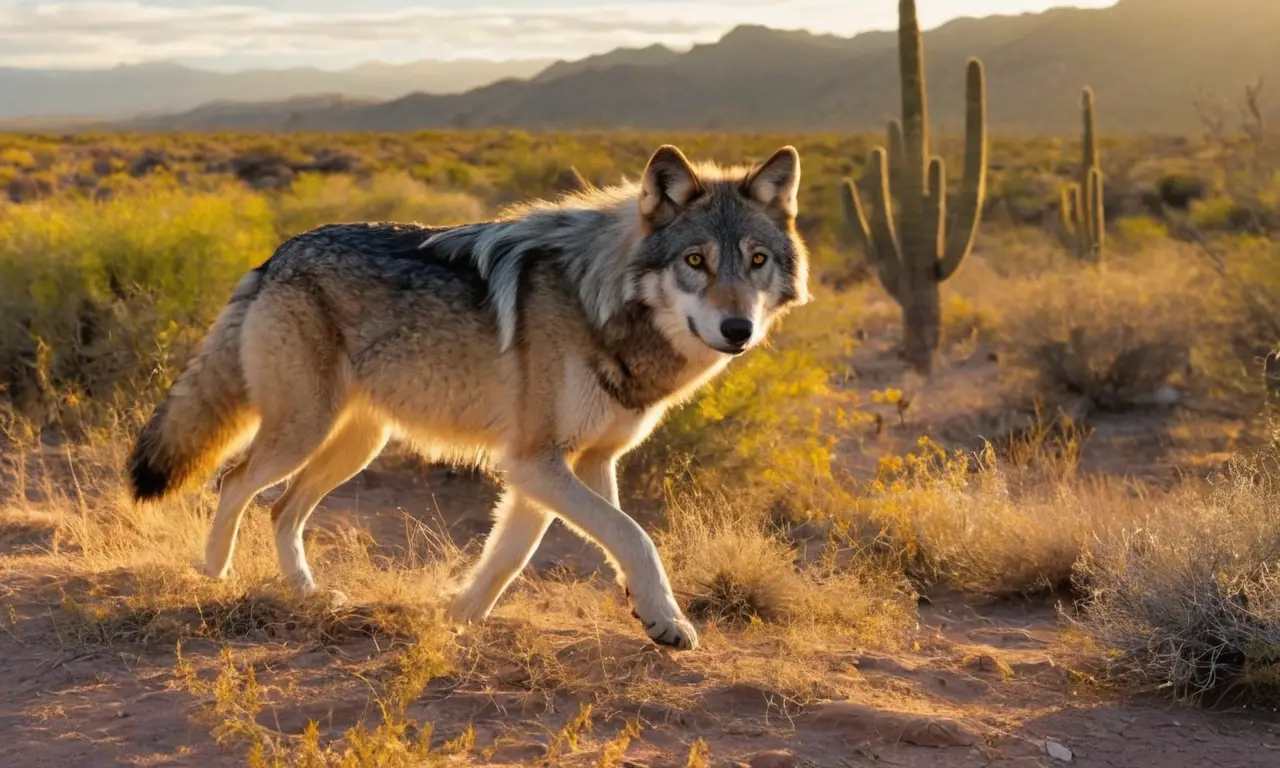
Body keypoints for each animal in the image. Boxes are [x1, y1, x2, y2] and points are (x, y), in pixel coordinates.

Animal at [125, 143, 810, 650]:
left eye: (756, 260)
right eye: (695, 260)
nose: (738, 330)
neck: (601, 305)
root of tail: (275, 255)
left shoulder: (577, 463)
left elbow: (515, 554)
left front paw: (456, 618)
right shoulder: (536, 460)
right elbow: (633, 534)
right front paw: (668, 620)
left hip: (355, 444)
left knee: (281, 509)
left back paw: (307, 594)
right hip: (302, 431)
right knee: (234, 483)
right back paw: (214, 577)